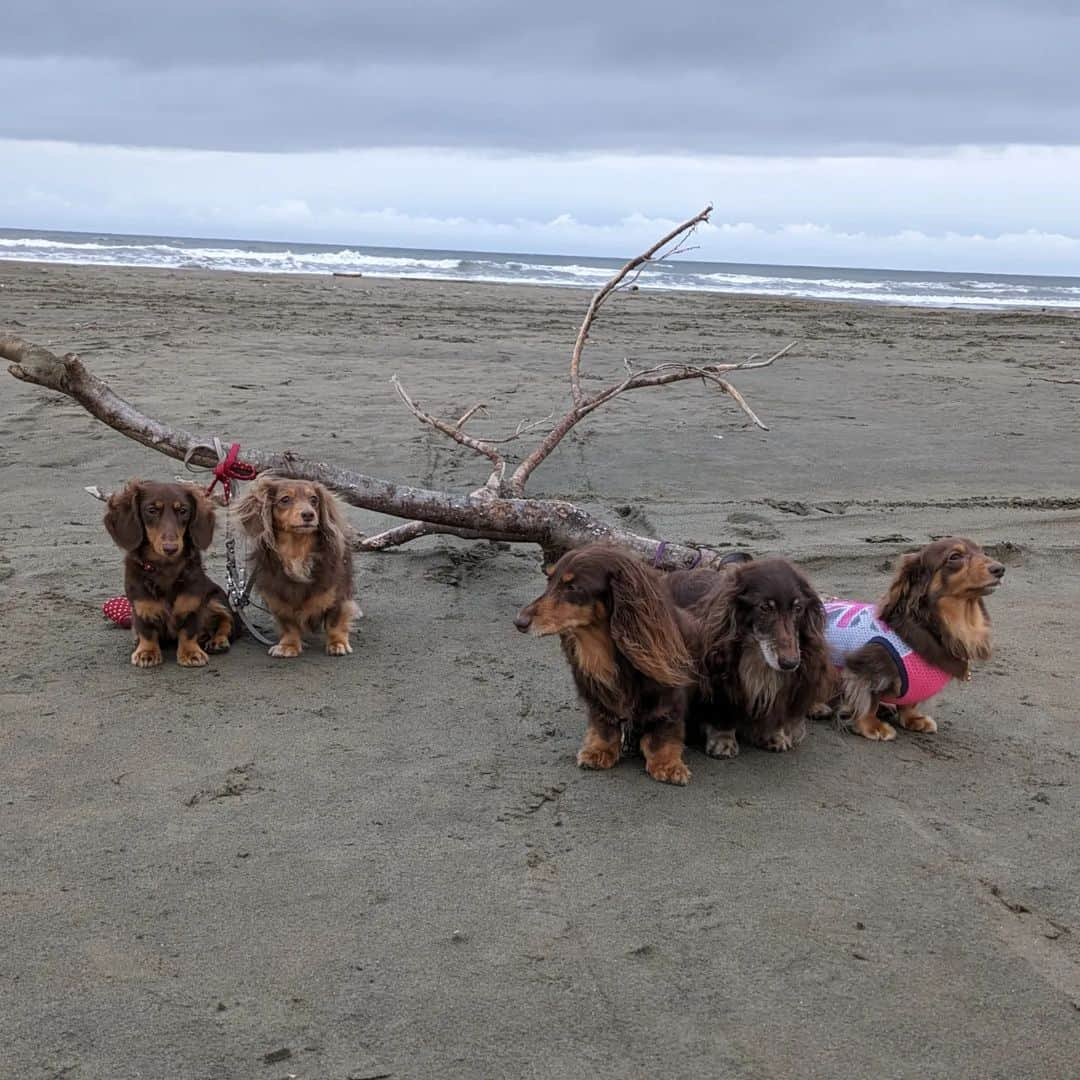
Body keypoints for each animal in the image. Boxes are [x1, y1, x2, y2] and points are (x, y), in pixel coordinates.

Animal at [104, 481, 233, 665]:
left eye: (183, 510)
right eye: (151, 510)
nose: (171, 548)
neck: (165, 567)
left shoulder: (193, 604)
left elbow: (189, 630)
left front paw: (191, 652)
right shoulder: (141, 606)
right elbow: (146, 631)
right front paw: (147, 652)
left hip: (216, 598)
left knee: (227, 621)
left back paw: (218, 640)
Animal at [234, 479, 356, 656]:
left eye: (314, 499)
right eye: (285, 499)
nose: (309, 514)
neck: (297, 552)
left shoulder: (337, 592)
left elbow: (334, 621)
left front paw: (337, 643)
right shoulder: (278, 597)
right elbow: (289, 625)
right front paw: (288, 646)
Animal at [516, 548, 699, 786]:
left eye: (573, 587)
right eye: (549, 579)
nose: (519, 622)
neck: (604, 647)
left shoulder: (667, 694)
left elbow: (662, 730)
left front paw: (667, 764)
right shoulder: (597, 693)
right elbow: (604, 723)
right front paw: (600, 750)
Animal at [686, 561, 829, 756]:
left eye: (798, 608)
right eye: (765, 607)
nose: (790, 663)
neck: (757, 657)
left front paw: (774, 735)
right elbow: (721, 711)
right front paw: (723, 739)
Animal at [825, 535, 1002, 738]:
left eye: (983, 551)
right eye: (955, 556)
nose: (1000, 569)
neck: (930, 625)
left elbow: (909, 704)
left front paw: (913, 718)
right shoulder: (866, 666)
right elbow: (869, 700)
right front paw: (871, 725)